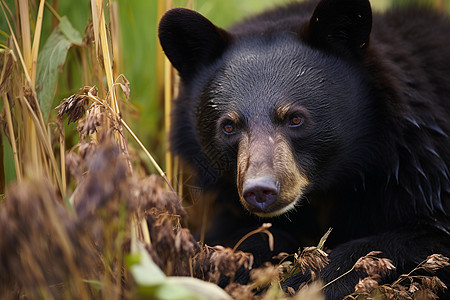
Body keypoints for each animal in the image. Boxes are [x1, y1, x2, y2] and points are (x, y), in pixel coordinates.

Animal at [158, 0, 450, 298]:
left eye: (295, 118)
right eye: (228, 126)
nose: (260, 191)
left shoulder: (416, 169)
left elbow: (418, 239)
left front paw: (306, 282)